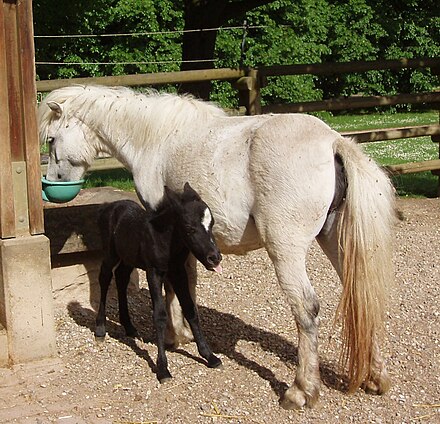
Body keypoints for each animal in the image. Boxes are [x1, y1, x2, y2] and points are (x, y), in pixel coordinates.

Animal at [94, 182, 222, 380]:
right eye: (189, 227)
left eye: (212, 224)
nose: (214, 258)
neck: (167, 241)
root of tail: (109, 207)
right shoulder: (154, 272)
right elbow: (160, 315)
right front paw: (162, 368)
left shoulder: (178, 271)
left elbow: (190, 309)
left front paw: (209, 356)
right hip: (110, 253)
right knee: (105, 278)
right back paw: (100, 328)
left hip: (129, 258)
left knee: (122, 278)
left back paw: (129, 327)